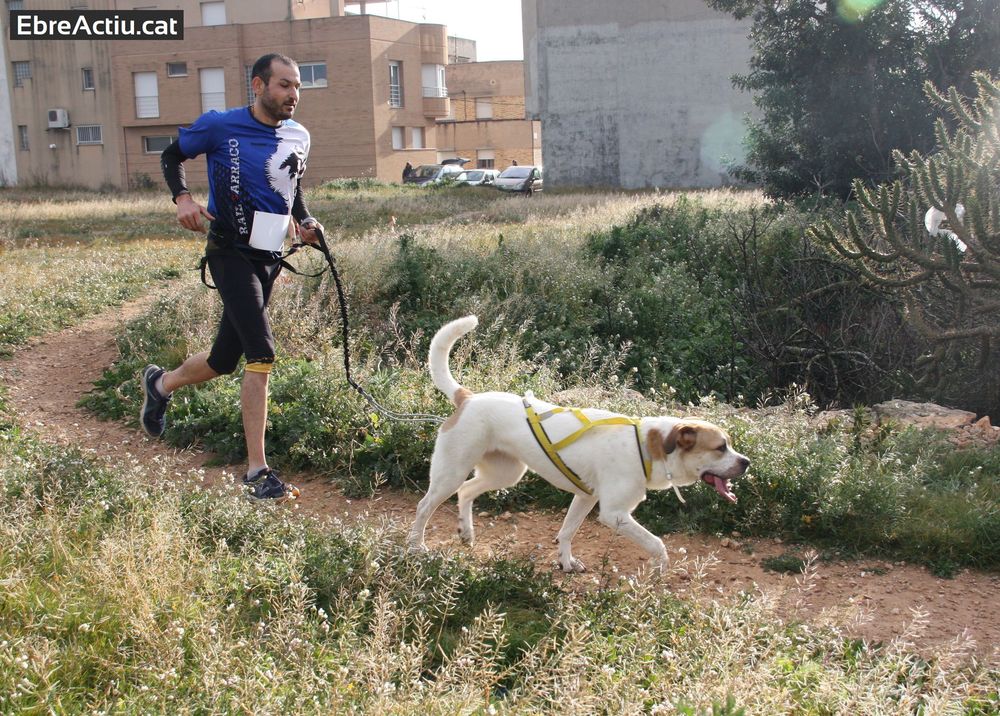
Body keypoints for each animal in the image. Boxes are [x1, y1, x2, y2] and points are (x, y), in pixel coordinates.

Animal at [408, 316, 751, 572]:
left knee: (466, 491)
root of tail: (467, 397)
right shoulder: (614, 513)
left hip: (506, 473)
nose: (746, 462)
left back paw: (466, 533)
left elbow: (567, 532)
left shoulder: (585, 498)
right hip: (451, 472)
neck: (647, 447)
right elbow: (657, 543)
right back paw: (416, 547)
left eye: (730, 445)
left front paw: (566, 562)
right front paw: (659, 569)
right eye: (720, 447)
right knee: (425, 506)